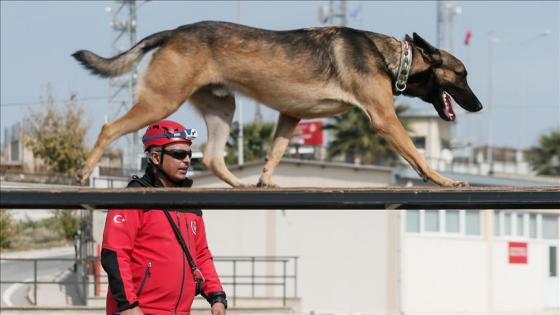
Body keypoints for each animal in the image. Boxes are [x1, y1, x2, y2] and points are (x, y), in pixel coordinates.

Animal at [72, 21, 484, 189]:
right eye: (463, 75)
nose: (479, 106)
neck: (394, 58)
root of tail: (171, 33)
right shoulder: (383, 119)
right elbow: (418, 157)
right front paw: (444, 180)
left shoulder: (291, 115)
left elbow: (275, 152)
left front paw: (265, 180)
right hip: (161, 100)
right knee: (109, 128)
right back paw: (83, 171)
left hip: (223, 108)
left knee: (215, 158)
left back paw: (241, 185)